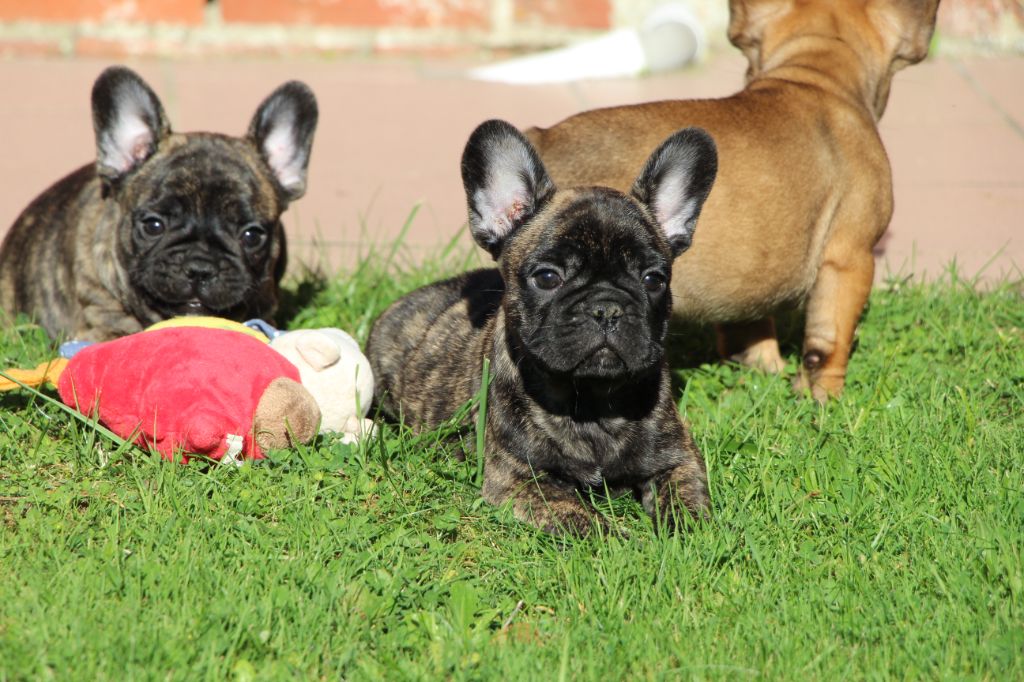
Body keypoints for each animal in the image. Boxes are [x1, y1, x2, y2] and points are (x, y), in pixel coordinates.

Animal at [370, 123, 720, 536]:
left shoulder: (678, 459)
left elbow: (686, 500)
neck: (591, 402)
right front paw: (625, 542)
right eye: (548, 277)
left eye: (653, 280)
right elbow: (582, 519)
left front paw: (688, 537)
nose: (607, 307)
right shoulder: (519, 479)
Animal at [524, 0, 937, 399]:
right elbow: (828, 342)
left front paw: (764, 375)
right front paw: (824, 400)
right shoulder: (850, 259)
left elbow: (750, 331)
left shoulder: (748, 275)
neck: (815, 73)